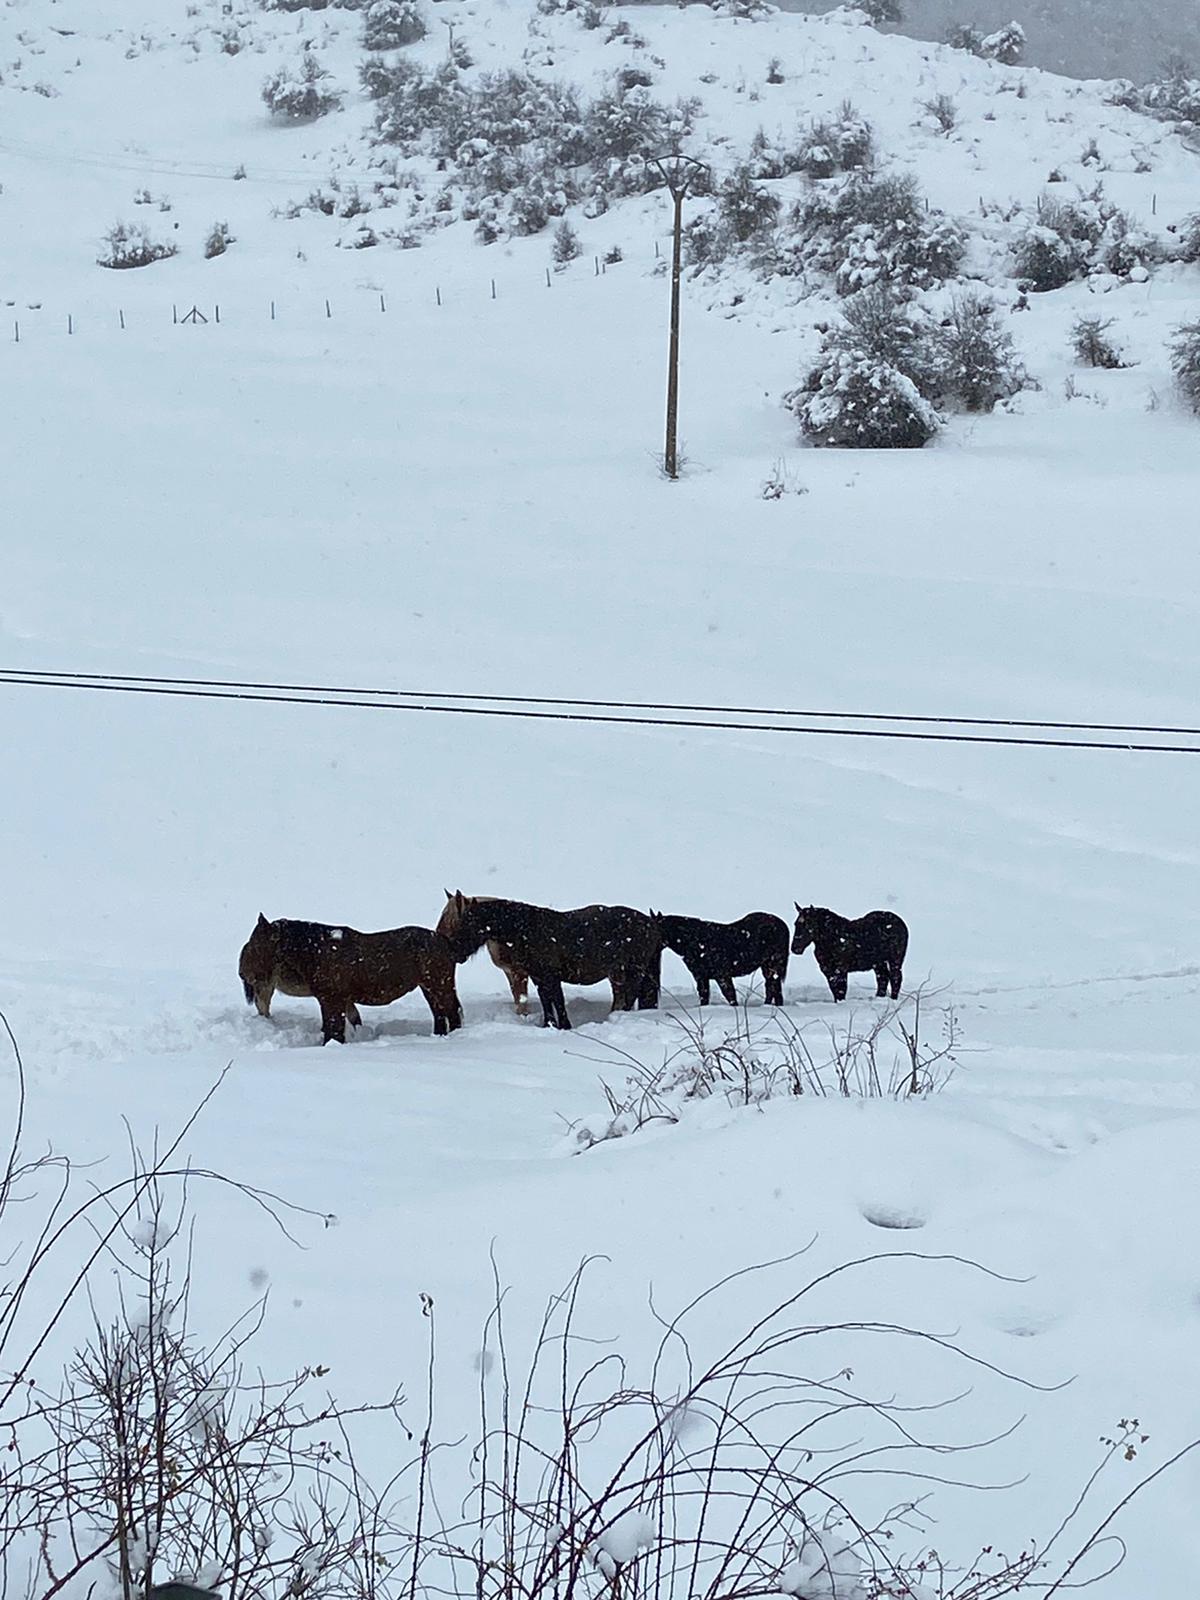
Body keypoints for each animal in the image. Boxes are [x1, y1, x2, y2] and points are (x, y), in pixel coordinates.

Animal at [236, 921, 464, 1043]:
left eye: (257, 944)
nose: (242, 973)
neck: (316, 952)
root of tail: (445, 941)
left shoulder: (332, 1000)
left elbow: (334, 1030)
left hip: (439, 985)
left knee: (452, 1013)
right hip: (429, 988)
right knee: (440, 1015)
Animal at [438, 896, 662, 1030]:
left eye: (467, 924)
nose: (455, 952)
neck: (528, 930)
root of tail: (650, 923)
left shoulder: (551, 976)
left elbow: (557, 1001)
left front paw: (564, 1026)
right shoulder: (538, 977)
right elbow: (547, 1001)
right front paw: (549, 1025)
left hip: (633, 971)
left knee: (629, 996)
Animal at [652, 915, 793, 998]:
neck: (695, 941)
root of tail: (782, 924)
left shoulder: (722, 976)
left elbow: (730, 996)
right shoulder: (701, 977)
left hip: (774, 965)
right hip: (768, 968)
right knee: (772, 987)